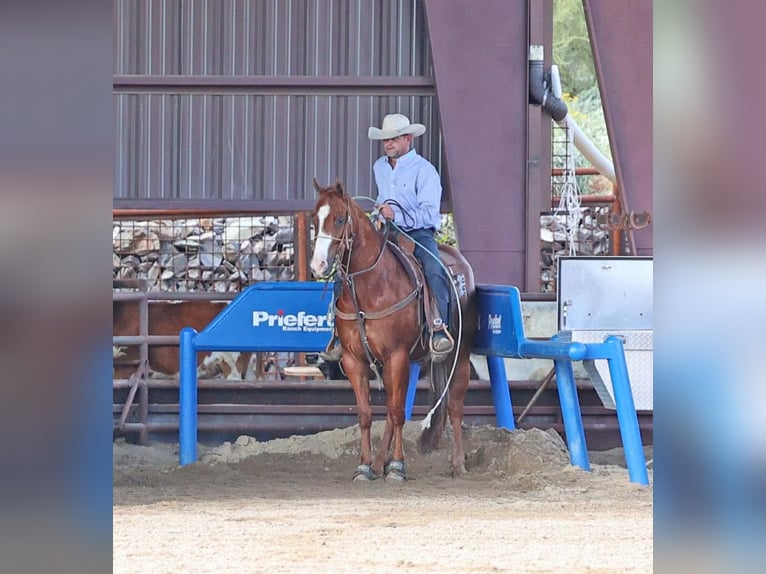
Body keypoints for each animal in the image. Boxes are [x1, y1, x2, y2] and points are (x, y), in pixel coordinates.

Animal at [309, 178, 477, 480]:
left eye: (339, 219)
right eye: (314, 220)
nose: (317, 266)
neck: (372, 287)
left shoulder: (396, 355)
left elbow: (398, 412)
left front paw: (398, 466)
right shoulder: (354, 360)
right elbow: (367, 414)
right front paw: (364, 466)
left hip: (460, 354)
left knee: (455, 405)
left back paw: (458, 462)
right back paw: (378, 462)